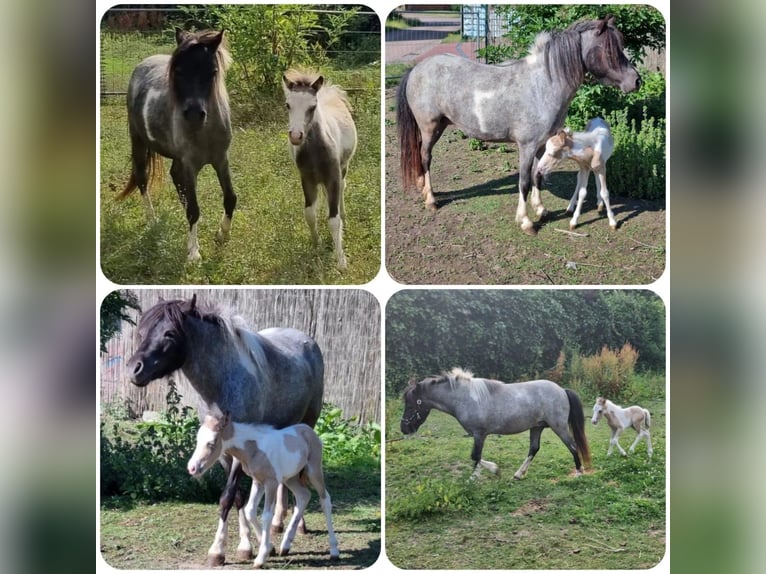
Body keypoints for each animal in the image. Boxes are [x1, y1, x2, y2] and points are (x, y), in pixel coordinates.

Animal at [117, 27, 236, 260]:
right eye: (179, 71)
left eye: (213, 72)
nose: (194, 115)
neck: (205, 130)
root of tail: (143, 63)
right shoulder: (189, 164)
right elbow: (194, 209)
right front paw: (193, 253)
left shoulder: (221, 160)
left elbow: (230, 198)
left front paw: (221, 235)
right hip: (138, 141)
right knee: (142, 179)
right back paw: (152, 221)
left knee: (175, 177)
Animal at [188, 412, 340, 568]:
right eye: (198, 440)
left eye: (211, 442)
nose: (192, 468)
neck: (254, 448)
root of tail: (308, 430)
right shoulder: (258, 482)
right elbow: (250, 511)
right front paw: (269, 548)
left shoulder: (271, 483)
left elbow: (267, 515)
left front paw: (261, 558)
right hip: (290, 478)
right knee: (303, 495)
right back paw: (285, 546)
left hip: (314, 471)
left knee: (325, 500)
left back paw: (334, 551)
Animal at [282, 69, 356, 270]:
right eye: (288, 105)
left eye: (312, 107)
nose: (296, 136)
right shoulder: (307, 179)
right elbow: (309, 214)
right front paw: (317, 245)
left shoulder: (333, 177)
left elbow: (334, 220)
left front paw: (341, 260)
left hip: (343, 168)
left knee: (342, 190)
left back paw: (345, 218)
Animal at [396, 15, 640, 236]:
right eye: (609, 50)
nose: (636, 81)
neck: (542, 85)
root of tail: (416, 69)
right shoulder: (527, 146)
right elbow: (524, 181)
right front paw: (526, 221)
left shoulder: (542, 145)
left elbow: (537, 176)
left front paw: (540, 209)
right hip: (430, 128)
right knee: (426, 158)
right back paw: (430, 199)